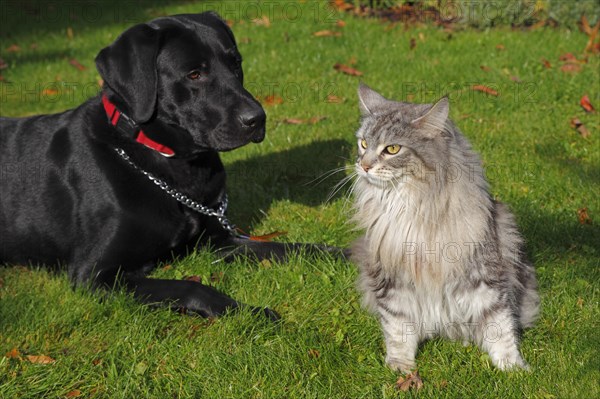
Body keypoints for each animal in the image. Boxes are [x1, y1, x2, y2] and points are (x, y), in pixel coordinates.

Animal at [0, 12, 338, 322]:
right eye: (194, 74)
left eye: (236, 64)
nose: (257, 119)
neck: (171, 166)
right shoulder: (94, 273)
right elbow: (192, 287)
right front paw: (250, 313)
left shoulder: (221, 240)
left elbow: (290, 247)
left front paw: (342, 254)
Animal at [346, 83, 540, 372]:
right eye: (364, 144)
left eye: (392, 149)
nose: (365, 166)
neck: (413, 207)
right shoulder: (392, 277)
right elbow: (398, 327)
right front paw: (401, 368)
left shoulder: (484, 271)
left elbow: (499, 325)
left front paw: (512, 367)